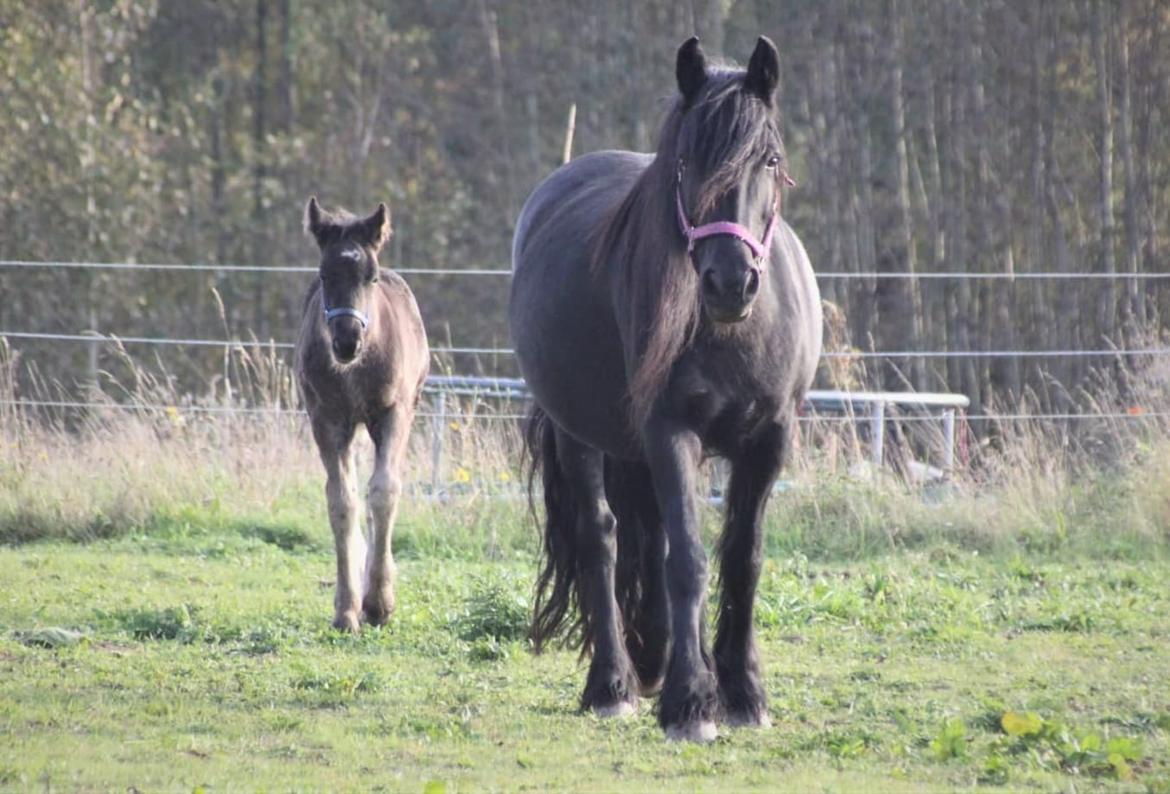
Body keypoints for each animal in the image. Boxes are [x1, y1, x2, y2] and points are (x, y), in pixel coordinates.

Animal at [294, 197, 429, 633]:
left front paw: (379, 603)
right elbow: (341, 501)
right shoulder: (326, 420)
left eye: (369, 278)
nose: (347, 340)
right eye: (324, 274)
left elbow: (384, 492)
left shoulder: (393, 413)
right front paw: (347, 609)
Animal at [510, 36, 822, 742]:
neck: (734, 334)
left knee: (647, 538)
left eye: (770, 159)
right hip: (578, 434)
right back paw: (614, 684)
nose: (729, 282)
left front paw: (743, 693)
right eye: (685, 161)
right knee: (602, 538)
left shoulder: (770, 440)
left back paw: (657, 661)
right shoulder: (670, 432)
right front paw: (691, 703)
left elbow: (742, 557)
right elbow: (689, 561)